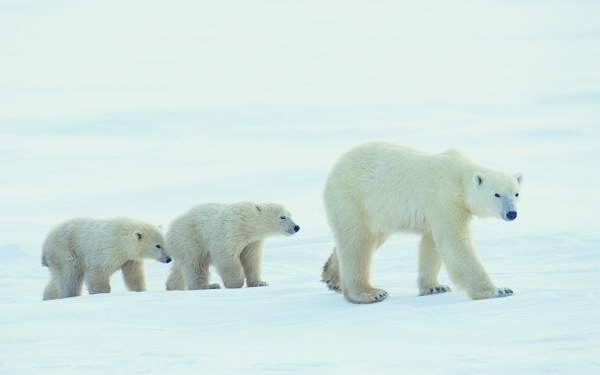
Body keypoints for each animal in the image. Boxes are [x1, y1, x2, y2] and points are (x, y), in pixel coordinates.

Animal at [42, 217, 171, 300]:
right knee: (71, 273)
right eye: (157, 245)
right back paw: (70, 295)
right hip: (65, 248)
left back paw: (48, 297)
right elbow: (97, 272)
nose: (168, 259)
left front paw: (141, 290)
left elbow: (134, 275)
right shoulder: (107, 250)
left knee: (57, 277)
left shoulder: (130, 259)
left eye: (165, 243)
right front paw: (101, 293)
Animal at [165, 203, 300, 290]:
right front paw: (235, 283)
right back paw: (208, 286)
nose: (296, 227)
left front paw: (260, 283)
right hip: (190, 238)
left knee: (179, 269)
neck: (246, 223)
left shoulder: (253, 242)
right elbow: (226, 256)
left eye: (290, 215)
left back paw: (173, 287)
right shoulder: (230, 232)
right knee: (195, 263)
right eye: (282, 216)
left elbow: (252, 260)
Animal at [322, 142, 524, 304]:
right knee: (357, 243)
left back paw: (332, 278)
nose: (512, 213)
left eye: (516, 193)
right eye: (497, 194)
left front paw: (434, 287)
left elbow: (432, 244)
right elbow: (454, 243)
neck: (458, 176)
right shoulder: (445, 199)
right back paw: (370, 293)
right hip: (353, 198)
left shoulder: (437, 210)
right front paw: (498, 290)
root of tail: (336, 167)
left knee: (369, 239)